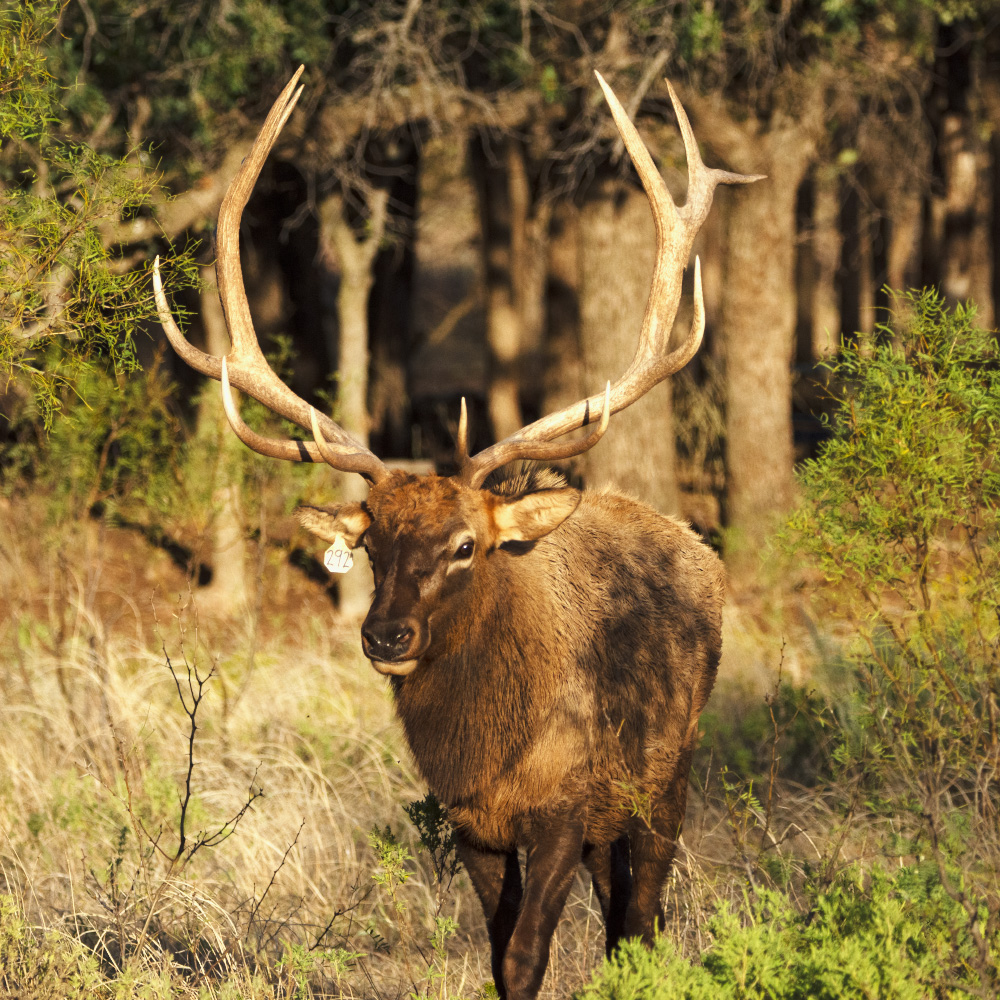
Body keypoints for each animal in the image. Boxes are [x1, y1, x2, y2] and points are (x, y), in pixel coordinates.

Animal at [152, 68, 756, 1000]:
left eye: (467, 545)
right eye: (369, 545)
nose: (386, 634)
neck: (488, 755)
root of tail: (694, 541)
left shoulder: (564, 804)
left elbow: (529, 951)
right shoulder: (472, 825)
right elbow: (499, 956)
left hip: (670, 771)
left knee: (642, 916)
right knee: (624, 915)